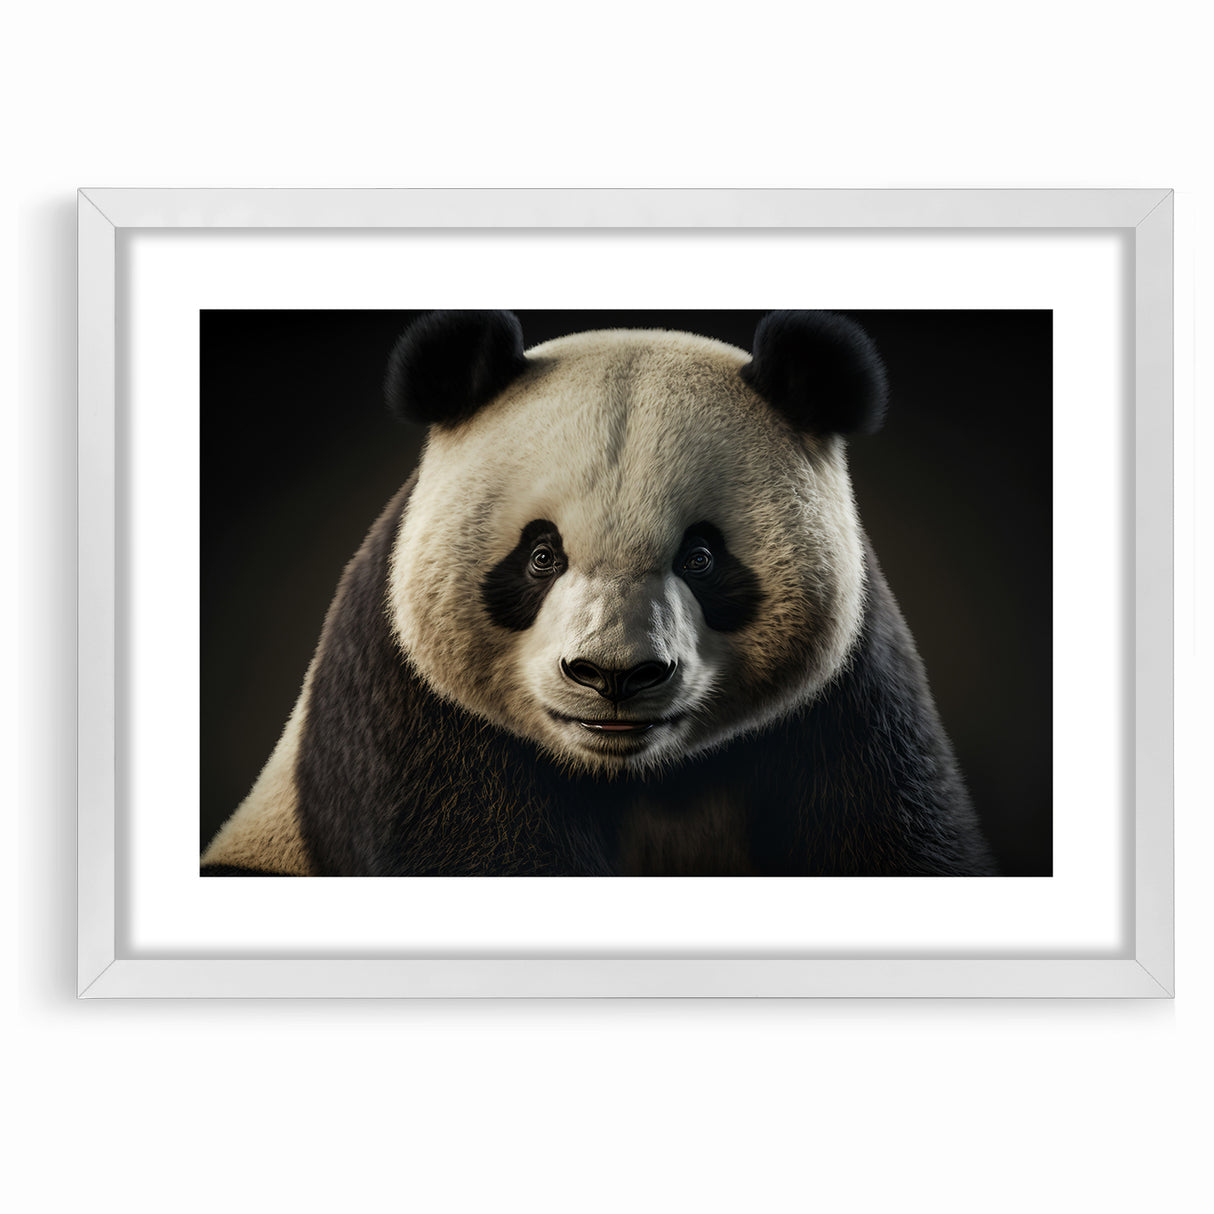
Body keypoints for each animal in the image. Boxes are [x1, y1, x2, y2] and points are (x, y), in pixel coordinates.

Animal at [201, 310, 996, 877]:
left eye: (701, 558)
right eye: (540, 556)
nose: (614, 676)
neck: (635, 776)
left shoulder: (851, 702)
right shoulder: (409, 701)